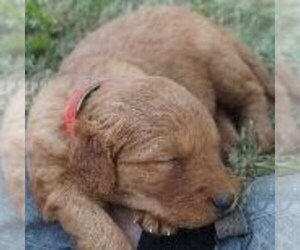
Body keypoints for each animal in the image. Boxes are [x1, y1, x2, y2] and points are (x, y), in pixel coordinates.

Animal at [28, 5, 274, 250]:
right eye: (167, 161)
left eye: (211, 149)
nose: (228, 200)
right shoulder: (57, 188)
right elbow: (96, 225)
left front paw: (158, 219)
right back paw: (232, 138)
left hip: (220, 63)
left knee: (252, 91)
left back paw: (260, 135)